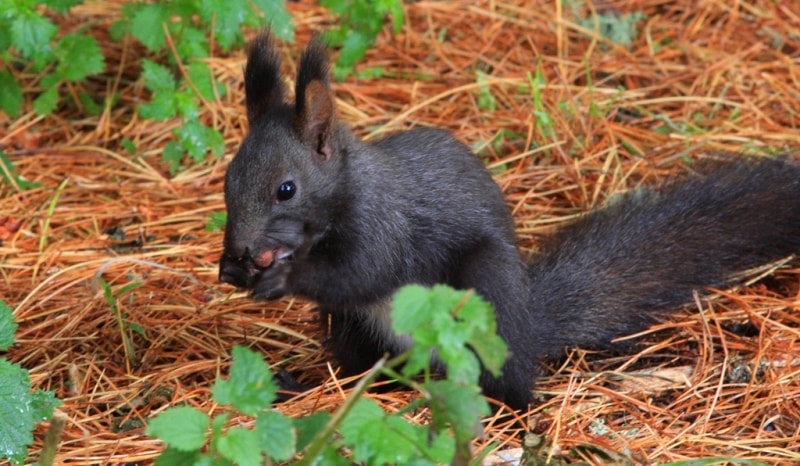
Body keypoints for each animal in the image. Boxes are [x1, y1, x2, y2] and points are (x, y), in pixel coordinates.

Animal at [217, 32, 800, 410]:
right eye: (228, 177)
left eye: (286, 189)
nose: (242, 247)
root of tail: (528, 323)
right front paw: (231, 269)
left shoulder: (384, 224)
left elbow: (359, 273)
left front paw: (283, 277)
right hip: (352, 330)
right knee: (366, 369)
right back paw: (310, 384)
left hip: (487, 294)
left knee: (510, 385)